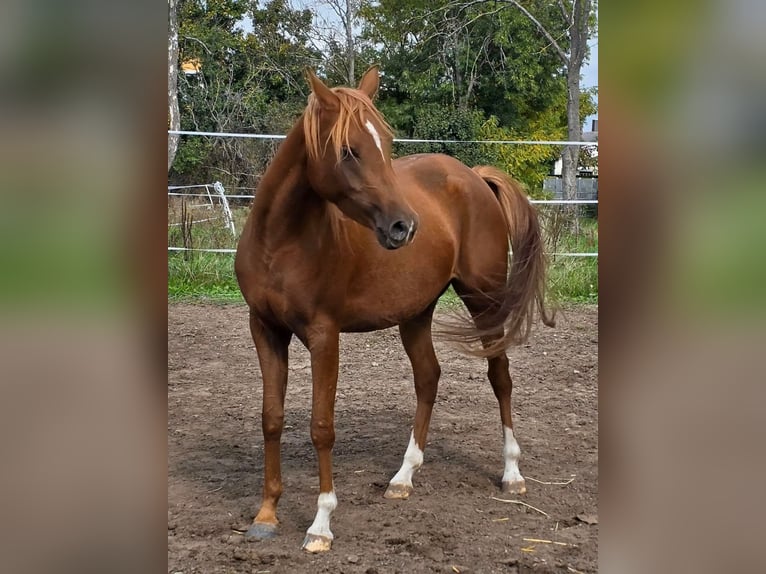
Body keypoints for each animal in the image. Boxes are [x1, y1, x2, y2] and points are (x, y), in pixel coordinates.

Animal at [234, 65, 555, 553]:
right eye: (348, 150)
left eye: (385, 144)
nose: (404, 226)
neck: (281, 243)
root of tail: (474, 177)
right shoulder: (265, 328)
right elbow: (272, 418)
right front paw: (267, 514)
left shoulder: (324, 336)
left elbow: (321, 425)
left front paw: (320, 525)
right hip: (416, 313)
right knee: (428, 377)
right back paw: (404, 477)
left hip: (484, 299)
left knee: (500, 377)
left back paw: (512, 473)